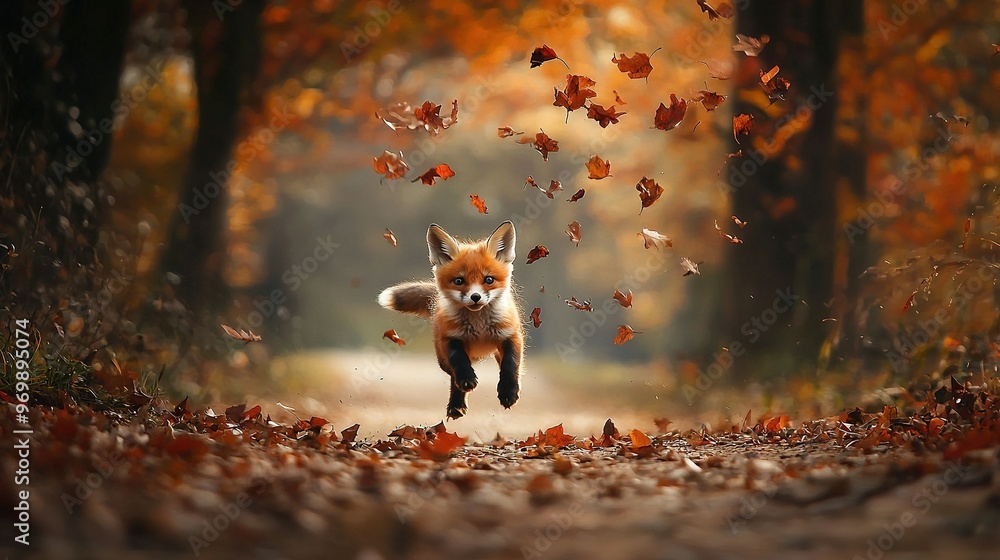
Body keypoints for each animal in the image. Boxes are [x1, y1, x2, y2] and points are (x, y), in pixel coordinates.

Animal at [378, 221, 524, 419]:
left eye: (489, 279)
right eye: (459, 281)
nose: (475, 297)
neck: (479, 326)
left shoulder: (511, 335)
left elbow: (510, 365)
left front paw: (508, 392)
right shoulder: (450, 338)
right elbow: (459, 361)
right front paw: (467, 380)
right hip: (443, 361)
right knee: (453, 376)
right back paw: (456, 405)